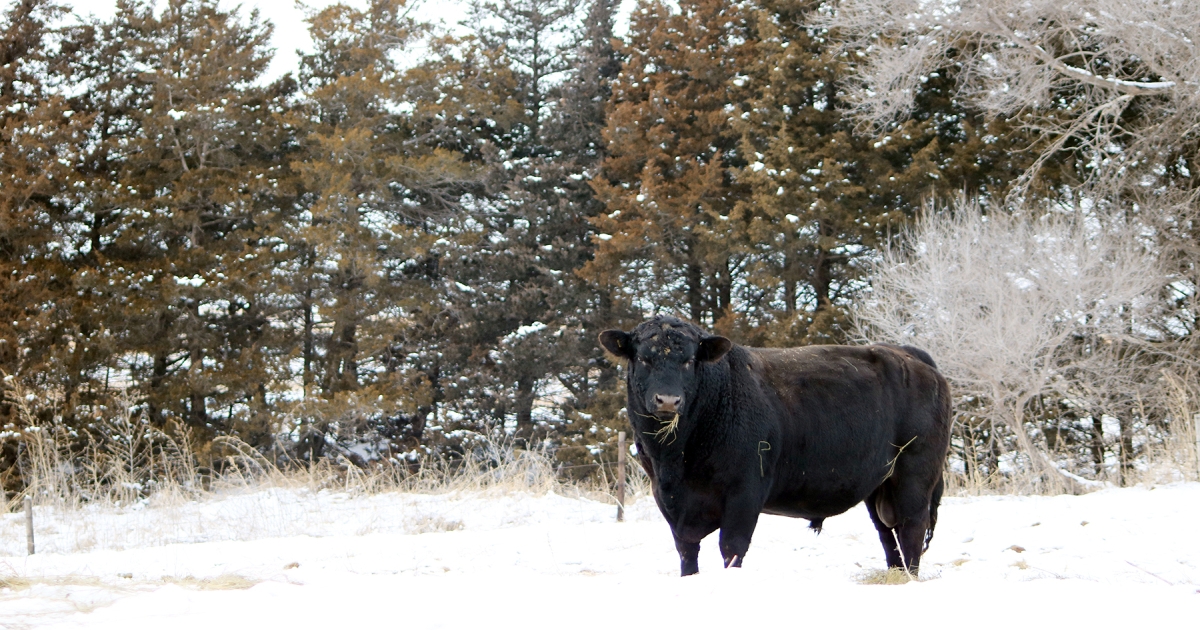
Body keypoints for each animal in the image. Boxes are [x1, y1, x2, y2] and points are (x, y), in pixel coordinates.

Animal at [604, 314, 950, 573]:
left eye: (689, 361)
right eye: (644, 359)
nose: (668, 400)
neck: (675, 460)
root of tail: (907, 353)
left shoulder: (745, 491)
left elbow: (732, 547)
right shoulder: (669, 502)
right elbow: (687, 552)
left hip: (915, 475)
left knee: (911, 528)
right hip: (879, 485)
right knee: (887, 534)